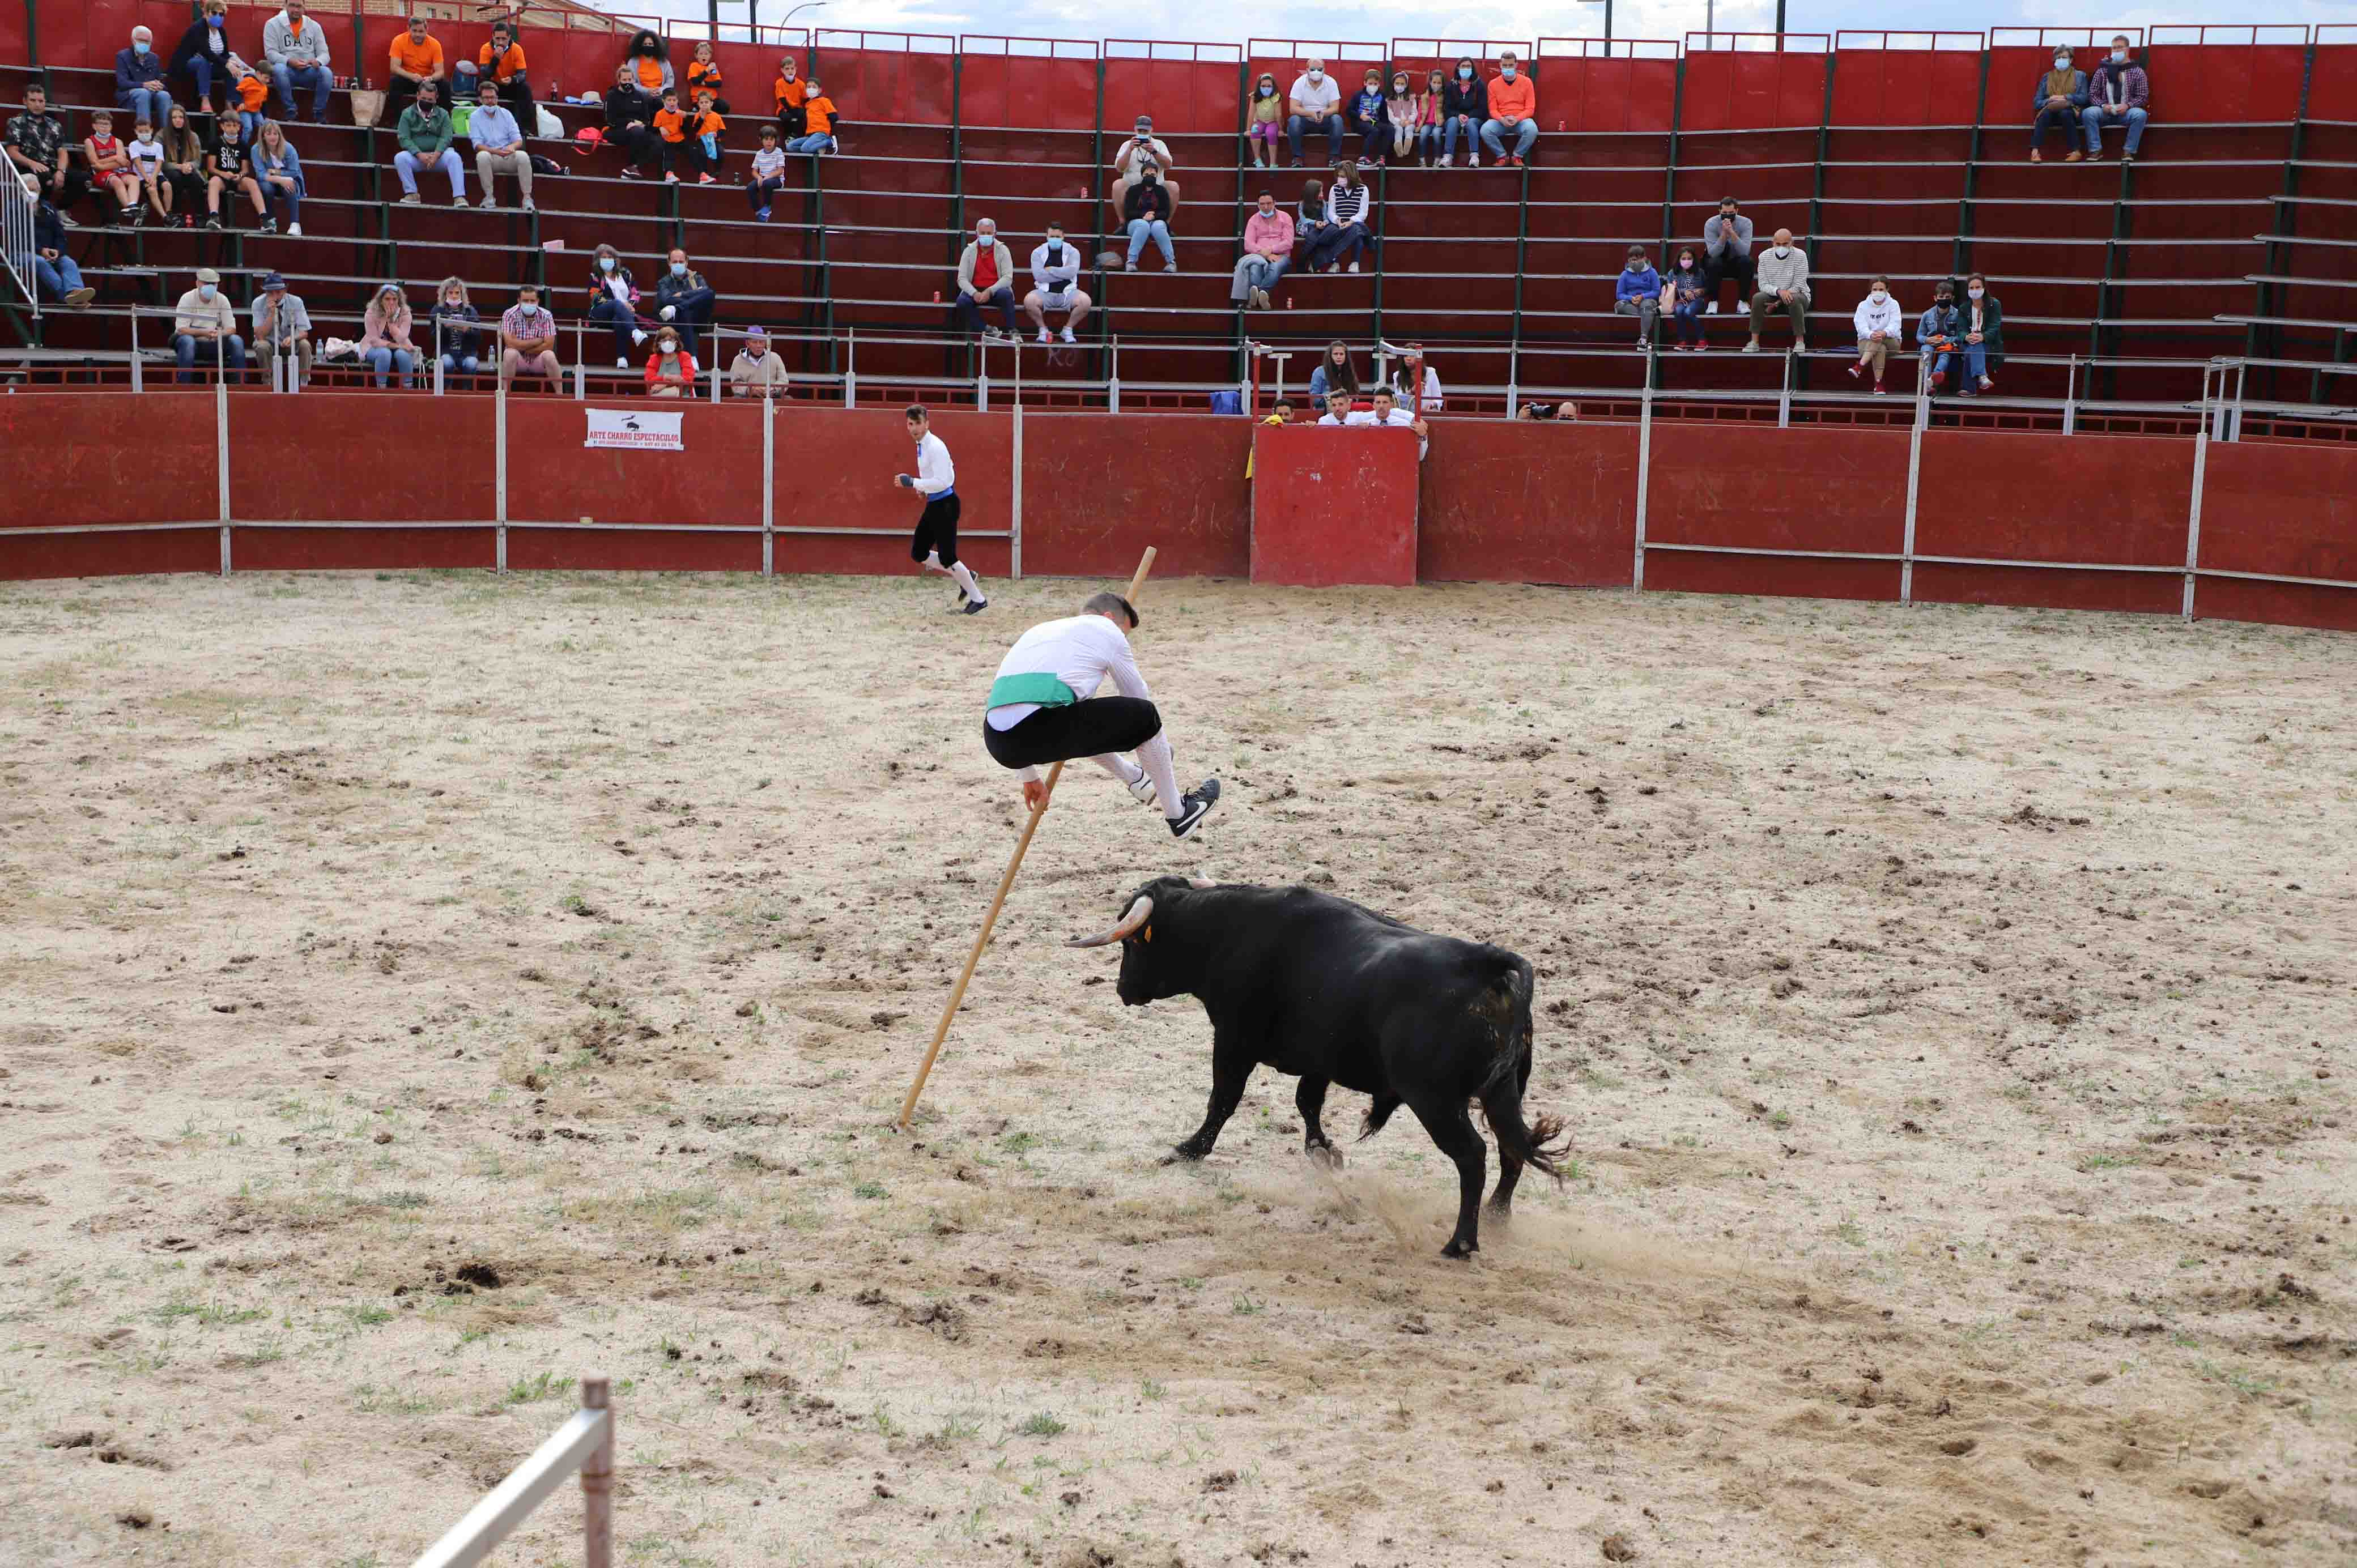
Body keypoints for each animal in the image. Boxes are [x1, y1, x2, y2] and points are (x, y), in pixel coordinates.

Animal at [1079, 872, 1574, 1254]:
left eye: (1132, 946)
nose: (1123, 990)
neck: (1224, 932)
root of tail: (1489, 965)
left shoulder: (1234, 1042)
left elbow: (1223, 1100)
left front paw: (1188, 1150)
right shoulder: (1318, 1058)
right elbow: (1307, 1103)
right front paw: (1325, 1153)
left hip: (1435, 1101)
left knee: (1473, 1156)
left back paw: (1461, 1243)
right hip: (1504, 1091)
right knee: (1513, 1148)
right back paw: (1496, 1217)